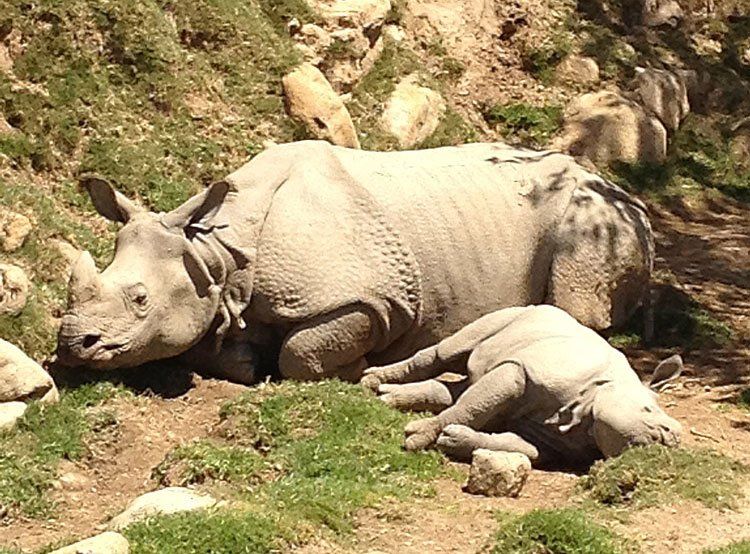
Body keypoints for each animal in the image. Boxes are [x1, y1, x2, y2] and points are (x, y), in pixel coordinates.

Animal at [57, 141, 653, 383]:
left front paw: (357, 368)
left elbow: (302, 353)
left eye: (141, 301)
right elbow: (218, 344)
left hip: (594, 218)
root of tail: (626, 193)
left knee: (576, 309)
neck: (216, 252)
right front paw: (244, 358)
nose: (71, 346)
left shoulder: (373, 298)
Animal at [361, 305, 682, 465]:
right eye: (648, 411)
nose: (673, 438)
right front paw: (417, 437)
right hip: (515, 312)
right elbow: (474, 406)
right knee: (449, 352)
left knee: (462, 389)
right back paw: (371, 380)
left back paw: (386, 397)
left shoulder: (552, 442)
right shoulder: (522, 371)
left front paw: (452, 439)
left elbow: (520, 447)